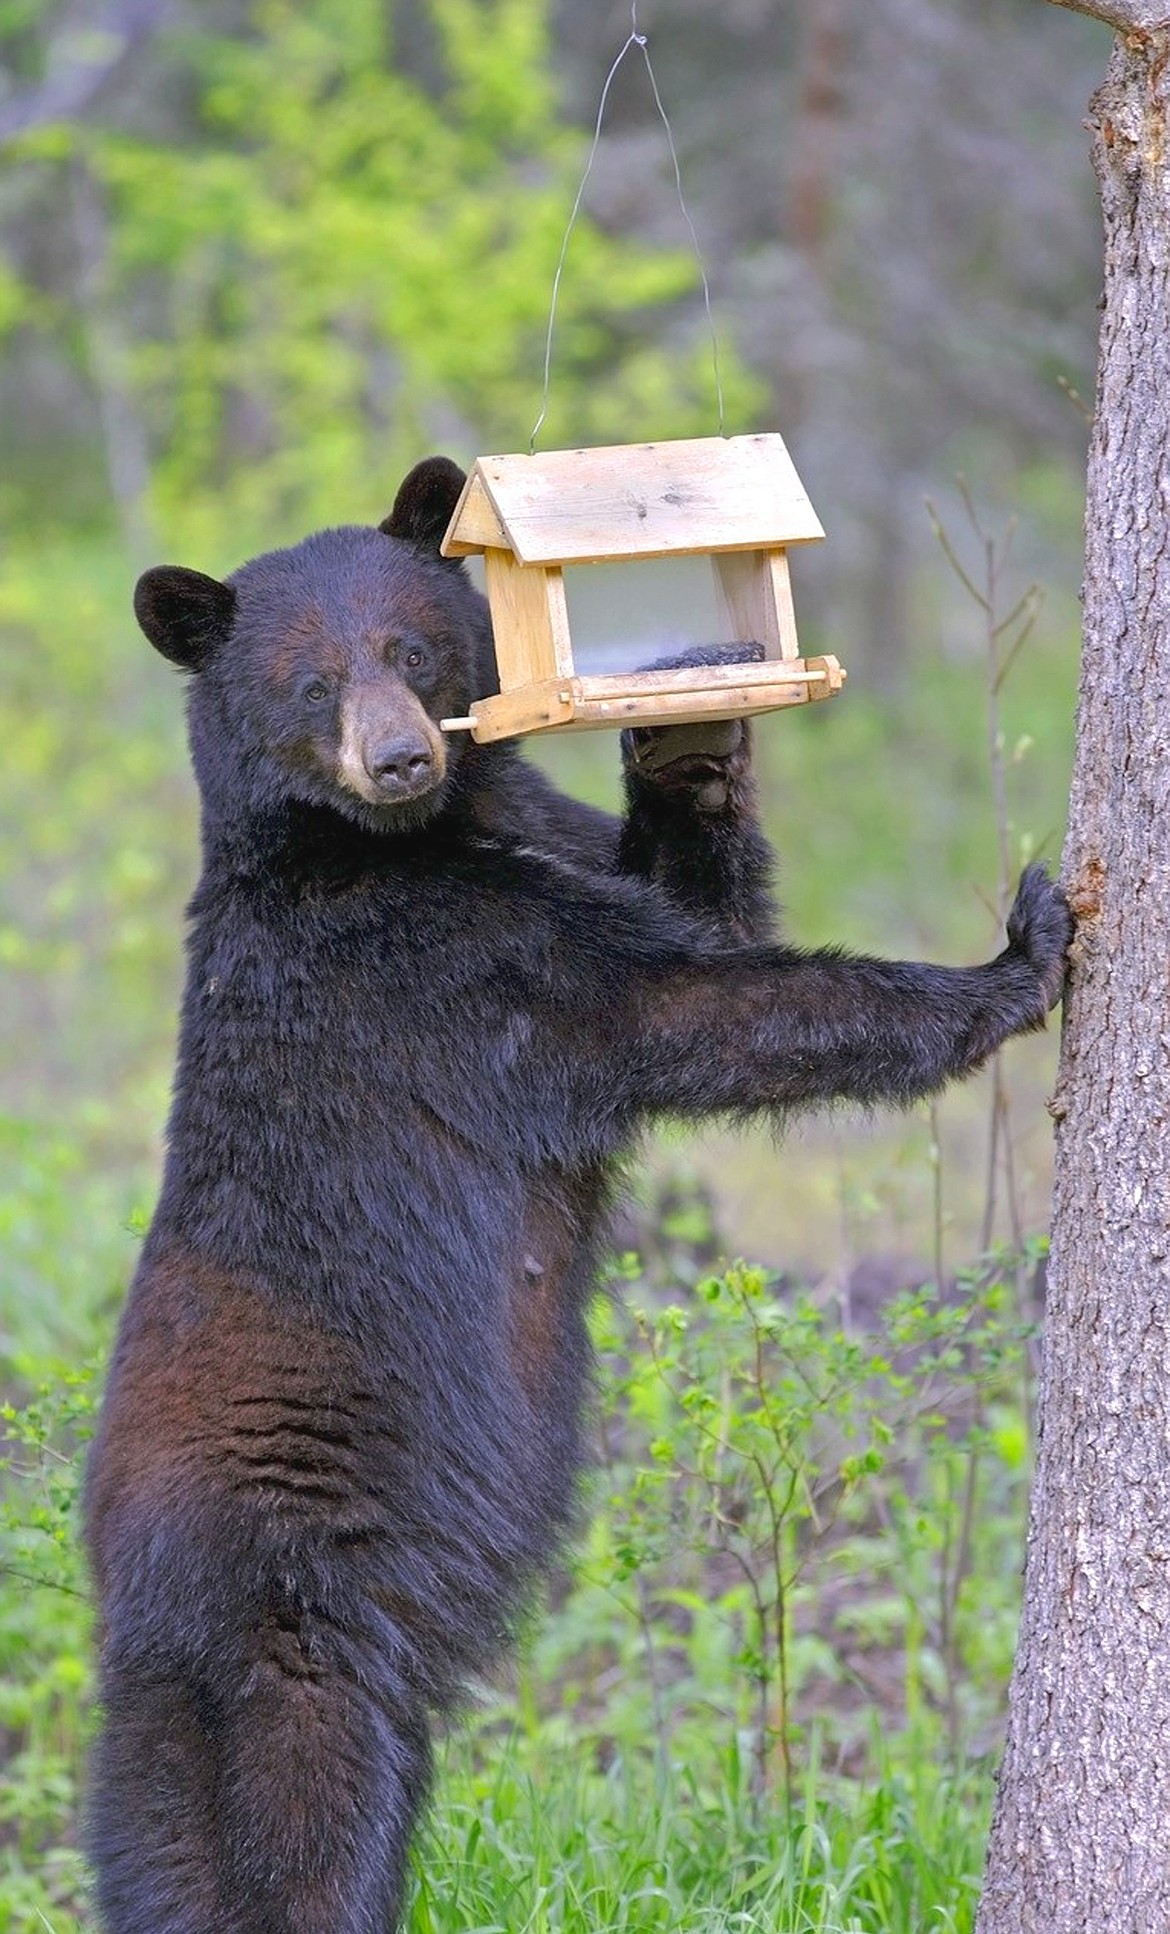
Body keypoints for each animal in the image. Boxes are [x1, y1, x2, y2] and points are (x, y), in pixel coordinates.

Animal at [79, 460, 1067, 1926]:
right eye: (309, 684)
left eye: (410, 650)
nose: (398, 756)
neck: (409, 838)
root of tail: (124, 1610)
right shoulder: (444, 965)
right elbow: (689, 1005)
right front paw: (1015, 955)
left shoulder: (541, 842)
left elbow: (694, 907)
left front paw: (686, 719)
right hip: (287, 1618)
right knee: (299, 1822)